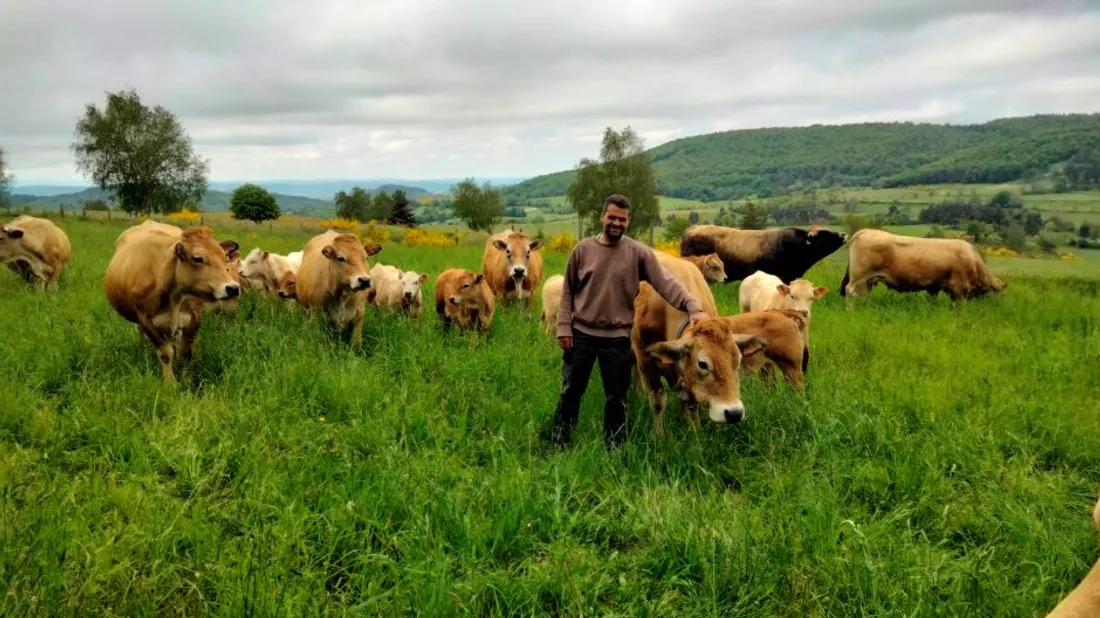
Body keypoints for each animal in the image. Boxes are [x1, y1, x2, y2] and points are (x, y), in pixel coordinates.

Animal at [103, 218, 240, 378]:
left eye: (224, 258)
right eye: (198, 258)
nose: (233, 288)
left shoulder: (194, 317)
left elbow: (185, 352)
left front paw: (186, 377)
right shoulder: (145, 319)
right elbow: (165, 353)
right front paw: (170, 381)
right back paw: (142, 352)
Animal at [836, 228, 1007, 301]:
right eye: (996, 294)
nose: (995, 306)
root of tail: (864, 231)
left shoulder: (935, 287)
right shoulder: (960, 287)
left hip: (868, 280)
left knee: (862, 294)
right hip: (859, 276)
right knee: (850, 291)